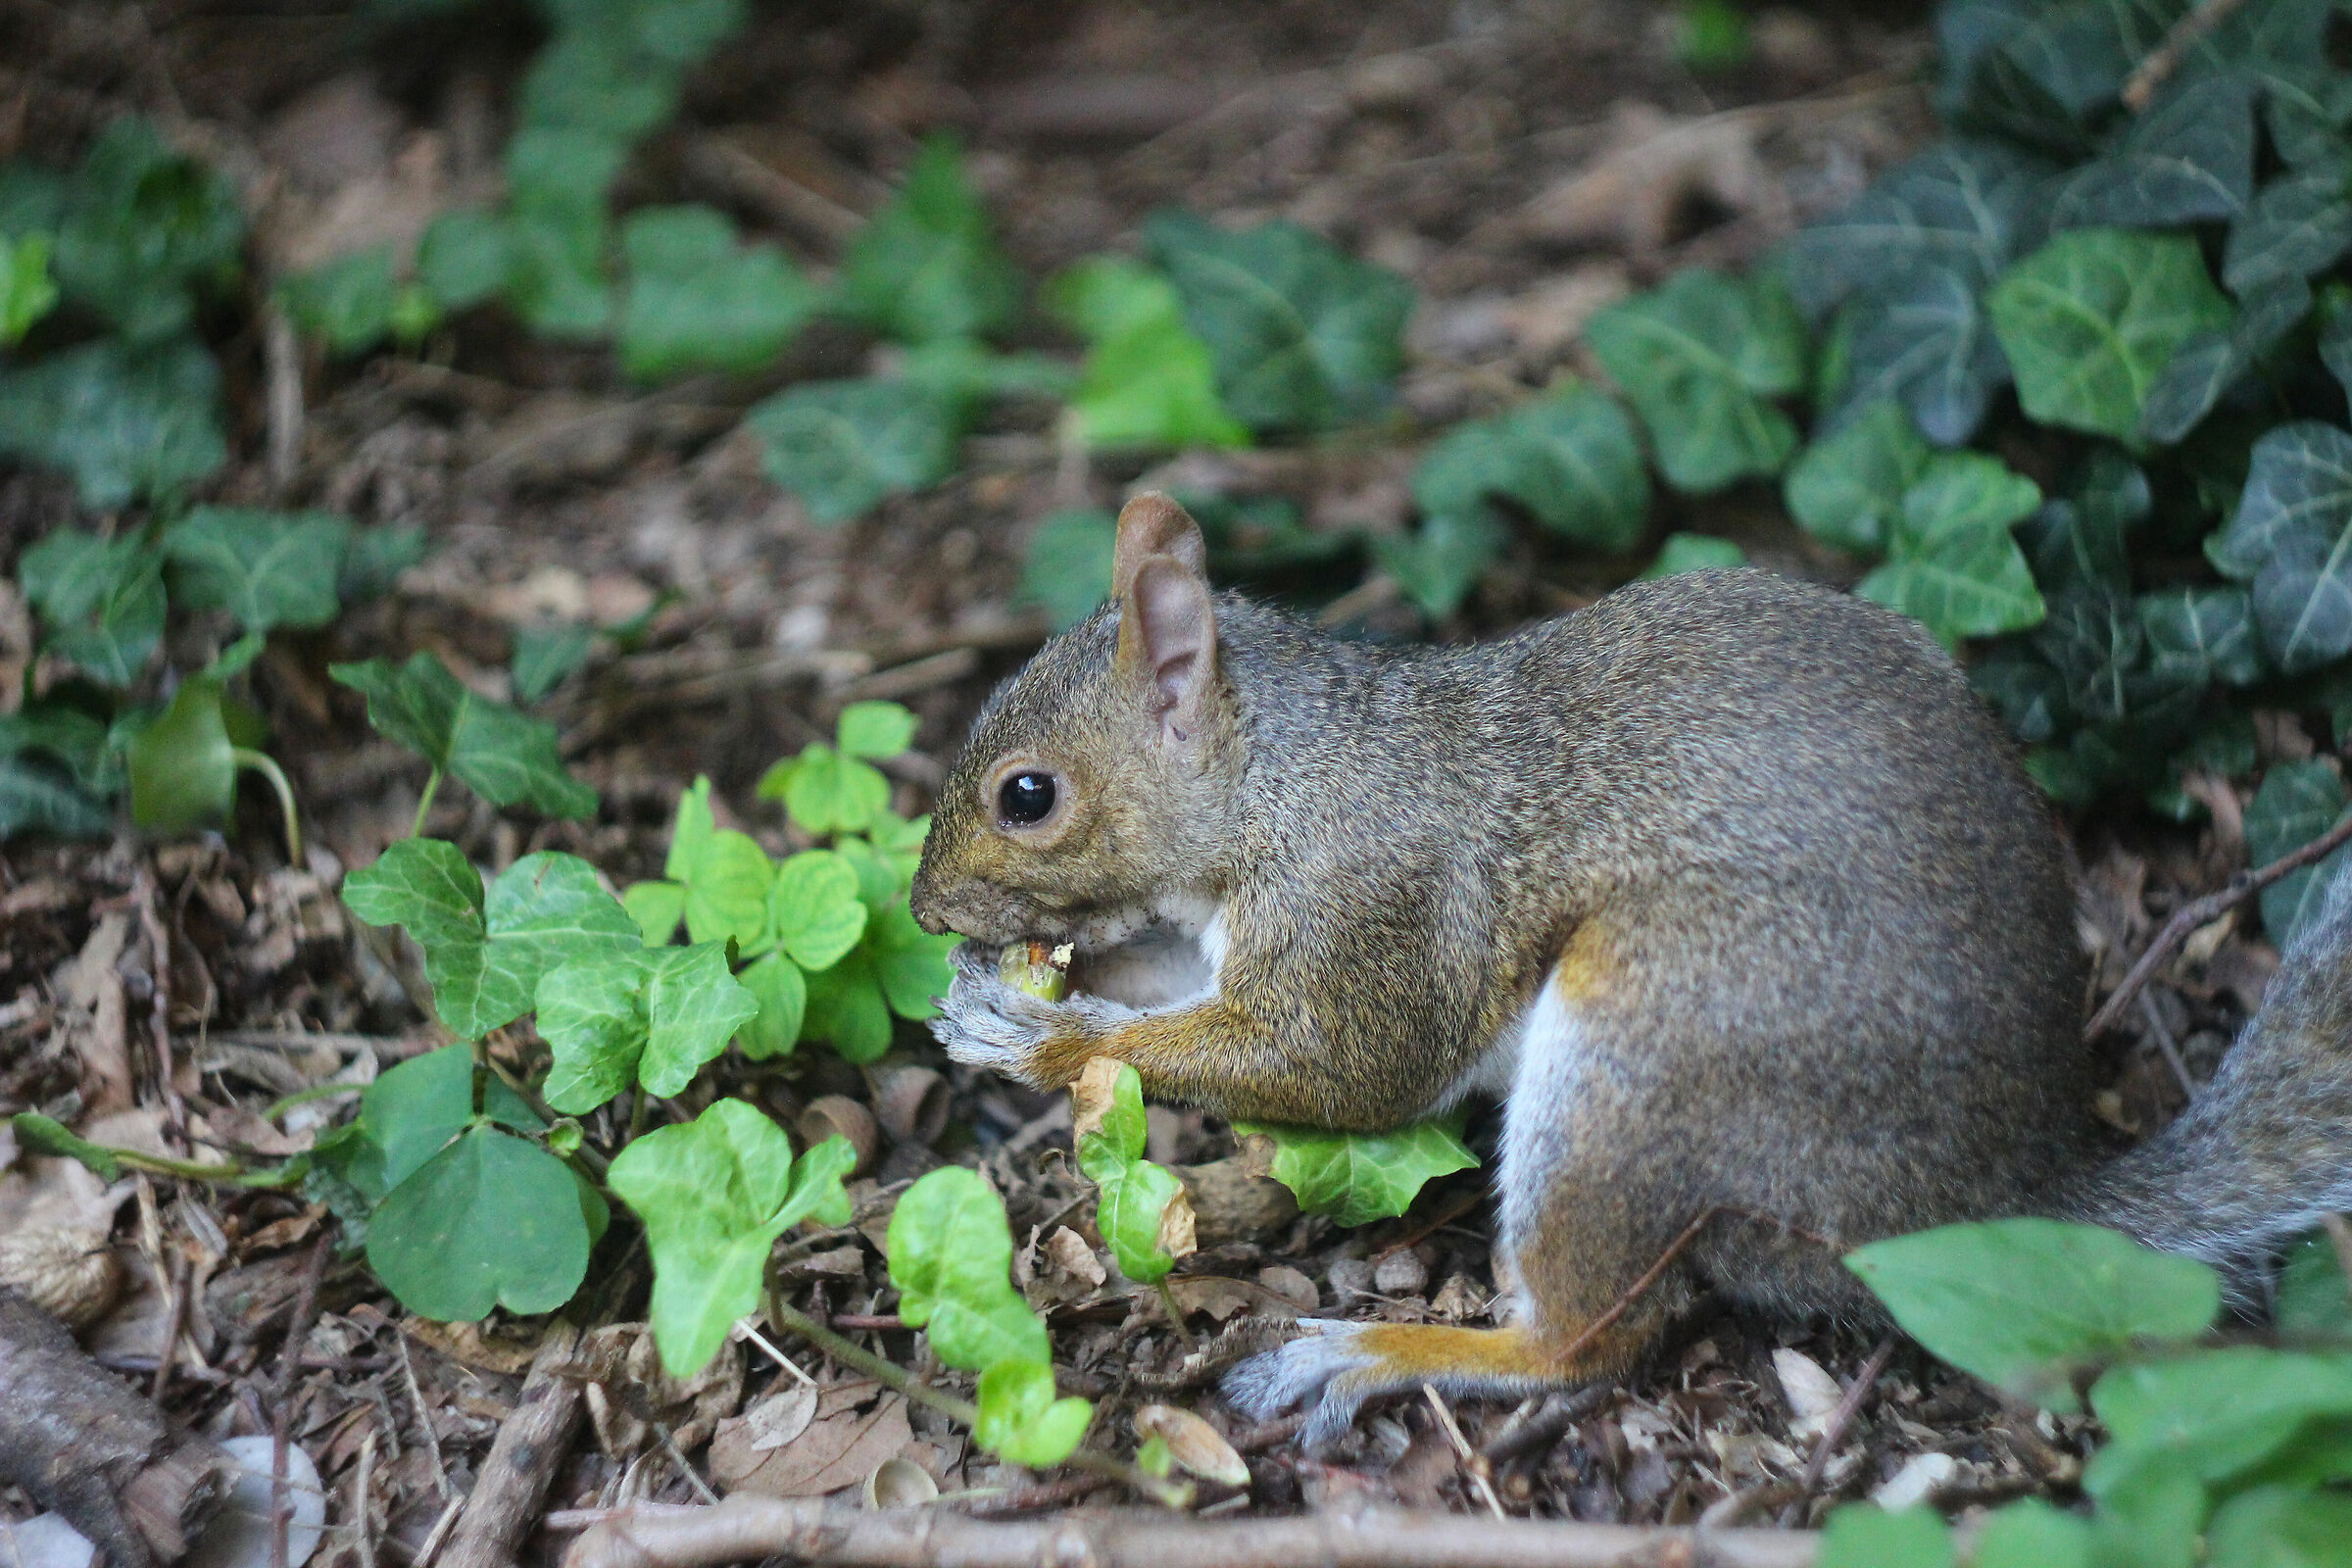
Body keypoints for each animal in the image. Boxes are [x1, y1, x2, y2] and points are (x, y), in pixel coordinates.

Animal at [908, 491, 2352, 1444]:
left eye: (1027, 794)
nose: (923, 908)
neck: (1283, 775)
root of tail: (1994, 1194)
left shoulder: (1376, 906)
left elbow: (1343, 1066)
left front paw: (1050, 1038)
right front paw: (999, 992)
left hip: (1652, 1046)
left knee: (1590, 1342)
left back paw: (1363, 1353)